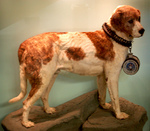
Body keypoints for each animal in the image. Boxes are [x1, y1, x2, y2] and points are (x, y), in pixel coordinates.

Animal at [8, 5, 145, 127]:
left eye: (139, 18)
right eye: (130, 20)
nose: (143, 30)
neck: (113, 36)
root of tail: (25, 43)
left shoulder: (102, 76)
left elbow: (102, 94)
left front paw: (104, 106)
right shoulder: (112, 77)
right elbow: (115, 98)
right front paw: (119, 115)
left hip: (49, 78)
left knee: (44, 96)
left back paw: (48, 110)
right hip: (42, 80)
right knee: (26, 103)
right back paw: (25, 123)